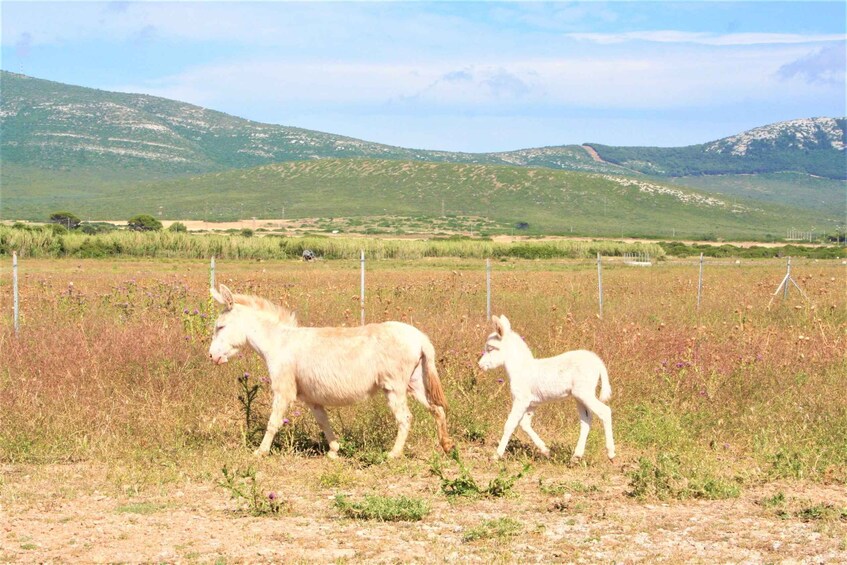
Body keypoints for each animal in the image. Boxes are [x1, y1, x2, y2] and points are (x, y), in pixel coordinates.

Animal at [480, 316, 612, 460]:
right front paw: (545, 450)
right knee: (586, 420)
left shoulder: (521, 400)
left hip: (584, 393)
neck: (521, 368)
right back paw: (576, 457)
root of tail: (598, 361)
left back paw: (611, 453)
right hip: (579, 397)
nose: (480, 365)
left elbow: (510, 425)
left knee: (605, 411)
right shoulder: (532, 403)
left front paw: (496, 455)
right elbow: (525, 424)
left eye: (490, 348)